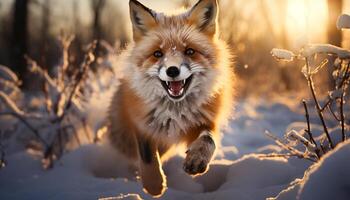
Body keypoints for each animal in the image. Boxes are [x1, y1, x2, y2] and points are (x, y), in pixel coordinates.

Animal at [108, 0, 235, 197]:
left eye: (190, 51)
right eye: (157, 54)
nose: (172, 70)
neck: (175, 111)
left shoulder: (205, 120)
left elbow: (208, 140)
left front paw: (197, 159)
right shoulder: (142, 123)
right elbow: (147, 156)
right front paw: (154, 185)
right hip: (124, 139)